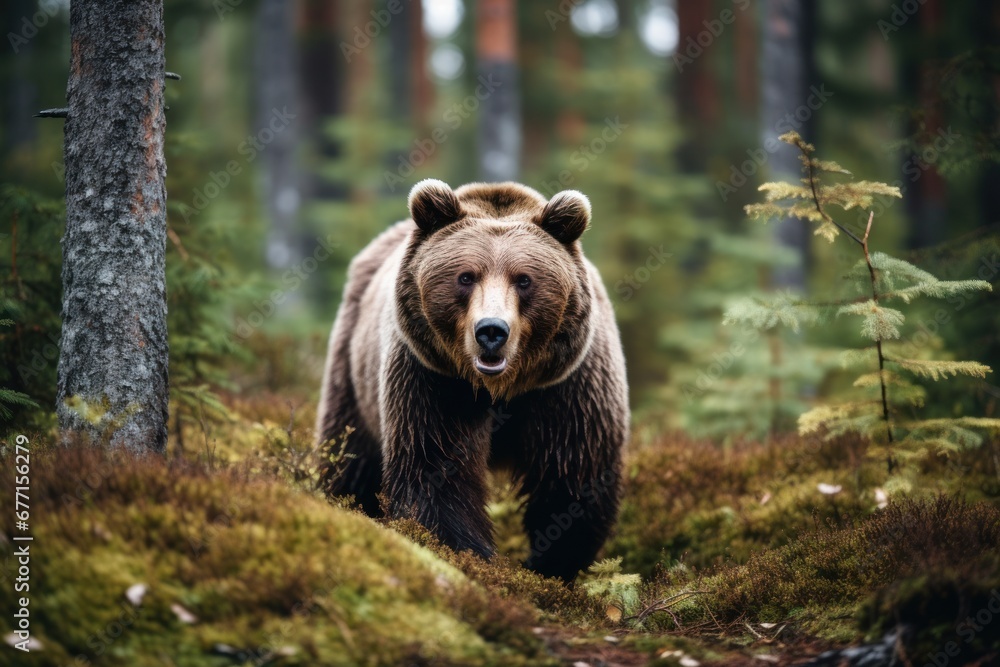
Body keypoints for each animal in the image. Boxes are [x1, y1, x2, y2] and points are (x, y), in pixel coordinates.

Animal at [315, 179, 629, 581]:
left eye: (524, 279)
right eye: (466, 276)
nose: (492, 331)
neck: (501, 390)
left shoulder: (568, 386)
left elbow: (572, 476)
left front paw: (551, 564)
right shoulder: (433, 379)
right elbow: (436, 470)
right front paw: (470, 556)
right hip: (351, 366)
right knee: (350, 454)